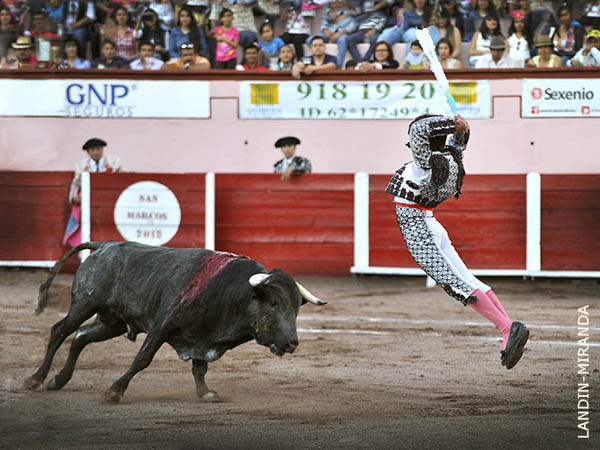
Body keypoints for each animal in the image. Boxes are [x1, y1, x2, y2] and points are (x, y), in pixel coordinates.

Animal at [23, 241, 326, 402]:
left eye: (297, 309)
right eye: (274, 303)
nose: (291, 343)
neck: (229, 294)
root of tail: (103, 247)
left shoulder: (204, 338)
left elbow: (200, 369)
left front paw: (205, 393)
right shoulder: (163, 325)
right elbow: (142, 359)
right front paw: (115, 391)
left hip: (112, 322)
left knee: (80, 337)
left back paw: (58, 380)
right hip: (86, 304)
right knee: (60, 331)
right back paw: (36, 379)